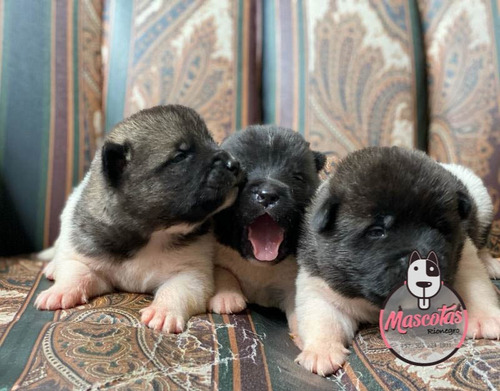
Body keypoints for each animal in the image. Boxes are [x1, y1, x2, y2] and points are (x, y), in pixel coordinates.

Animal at [34, 105, 241, 334]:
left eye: (212, 141)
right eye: (180, 156)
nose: (235, 163)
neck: (152, 233)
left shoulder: (190, 273)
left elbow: (175, 289)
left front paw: (163, 311)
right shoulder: (91, 261)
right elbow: (77, 273)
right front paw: (59, 291)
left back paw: (228, 296)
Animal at [206, 126, 324, 334]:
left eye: (297, 178)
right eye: (242, 172)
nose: (268, 195)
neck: (259, 265)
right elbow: (220, 268)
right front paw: (227, 296)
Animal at [294, 146, 500, 376]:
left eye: (439, 227)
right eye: (377, 232)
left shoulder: (464, 257)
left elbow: (475, 288)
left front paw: (484, 318)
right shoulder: (318, 286)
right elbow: (322, 318)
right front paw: (321, 351)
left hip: (481, 203)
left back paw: (491, 263)